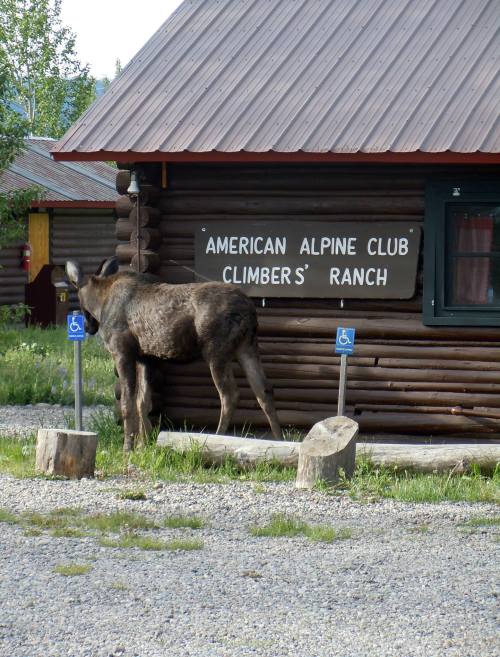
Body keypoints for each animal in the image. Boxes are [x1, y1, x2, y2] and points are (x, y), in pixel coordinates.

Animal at [65, 257, 282, 451]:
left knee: (230, 395)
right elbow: (143, 402)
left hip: (216, 351)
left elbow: (128, 402)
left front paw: (128, 447)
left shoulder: (122, 351)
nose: (88, 327)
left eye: (78, 297)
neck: (100, 303)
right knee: (264, 390)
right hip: (247, 347)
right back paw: (279, 440)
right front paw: (143, 446)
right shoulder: (146, 358)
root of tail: (250, 310)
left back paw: (219, 437)